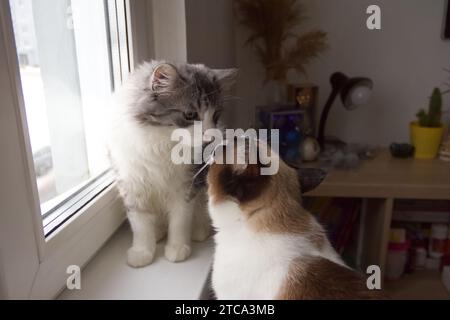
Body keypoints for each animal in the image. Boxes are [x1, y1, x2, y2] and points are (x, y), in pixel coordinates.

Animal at [107, 61, 237, 266]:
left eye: (216, 116)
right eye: (190, 114)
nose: (210, 139)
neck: (162, 144)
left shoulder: (185, 186)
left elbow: (179, 220)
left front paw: (177, 248)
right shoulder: (132, 185)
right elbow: (140, 224)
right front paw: (142, 251)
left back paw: (199, 230)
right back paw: (158, 232)